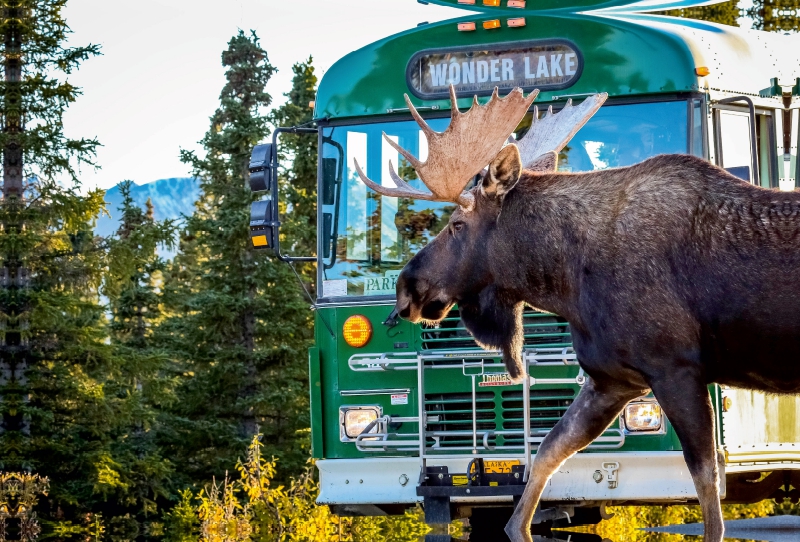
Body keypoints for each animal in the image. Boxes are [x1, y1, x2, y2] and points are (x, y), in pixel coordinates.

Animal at [354, 85, 800, 540]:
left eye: (457, 224)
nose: (406, 287)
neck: (566, 282)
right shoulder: (612, 380)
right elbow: (548, 452)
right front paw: (519, 527)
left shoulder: (675, 369)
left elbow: (706, 484)